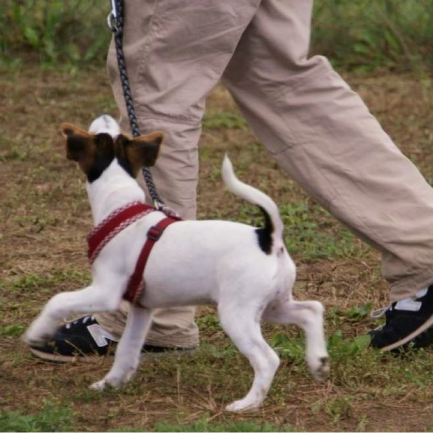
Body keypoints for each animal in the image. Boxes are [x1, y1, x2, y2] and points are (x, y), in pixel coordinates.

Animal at [22, 113, 328, 410]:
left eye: (101, 134)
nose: (105, 113)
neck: (121, 207)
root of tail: (267, 238)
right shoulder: (141, 309)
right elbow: (126, 350)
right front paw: (112, 383)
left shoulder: (105, 292)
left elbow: (58, 300)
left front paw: (37, 332)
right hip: (271, 306)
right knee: (311, 310)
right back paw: (318, 361)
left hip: (237, 314)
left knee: (267, 359)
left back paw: (248, 403)